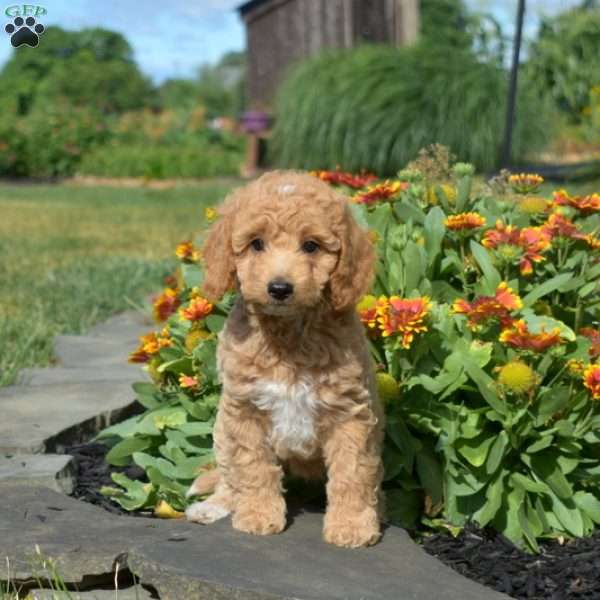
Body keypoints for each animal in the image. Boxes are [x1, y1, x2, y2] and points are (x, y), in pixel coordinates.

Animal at [185, 170, 386, 548]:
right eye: (256, 244)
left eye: (311, 246)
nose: (279, 288)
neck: (289, 335)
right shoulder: (245, 410)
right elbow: (254, 467)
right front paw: (259, 515)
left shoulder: (350, 413)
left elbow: (352, 472)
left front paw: (352, 525)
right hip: (222, 428)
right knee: (228, 476)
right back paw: (213, 506)